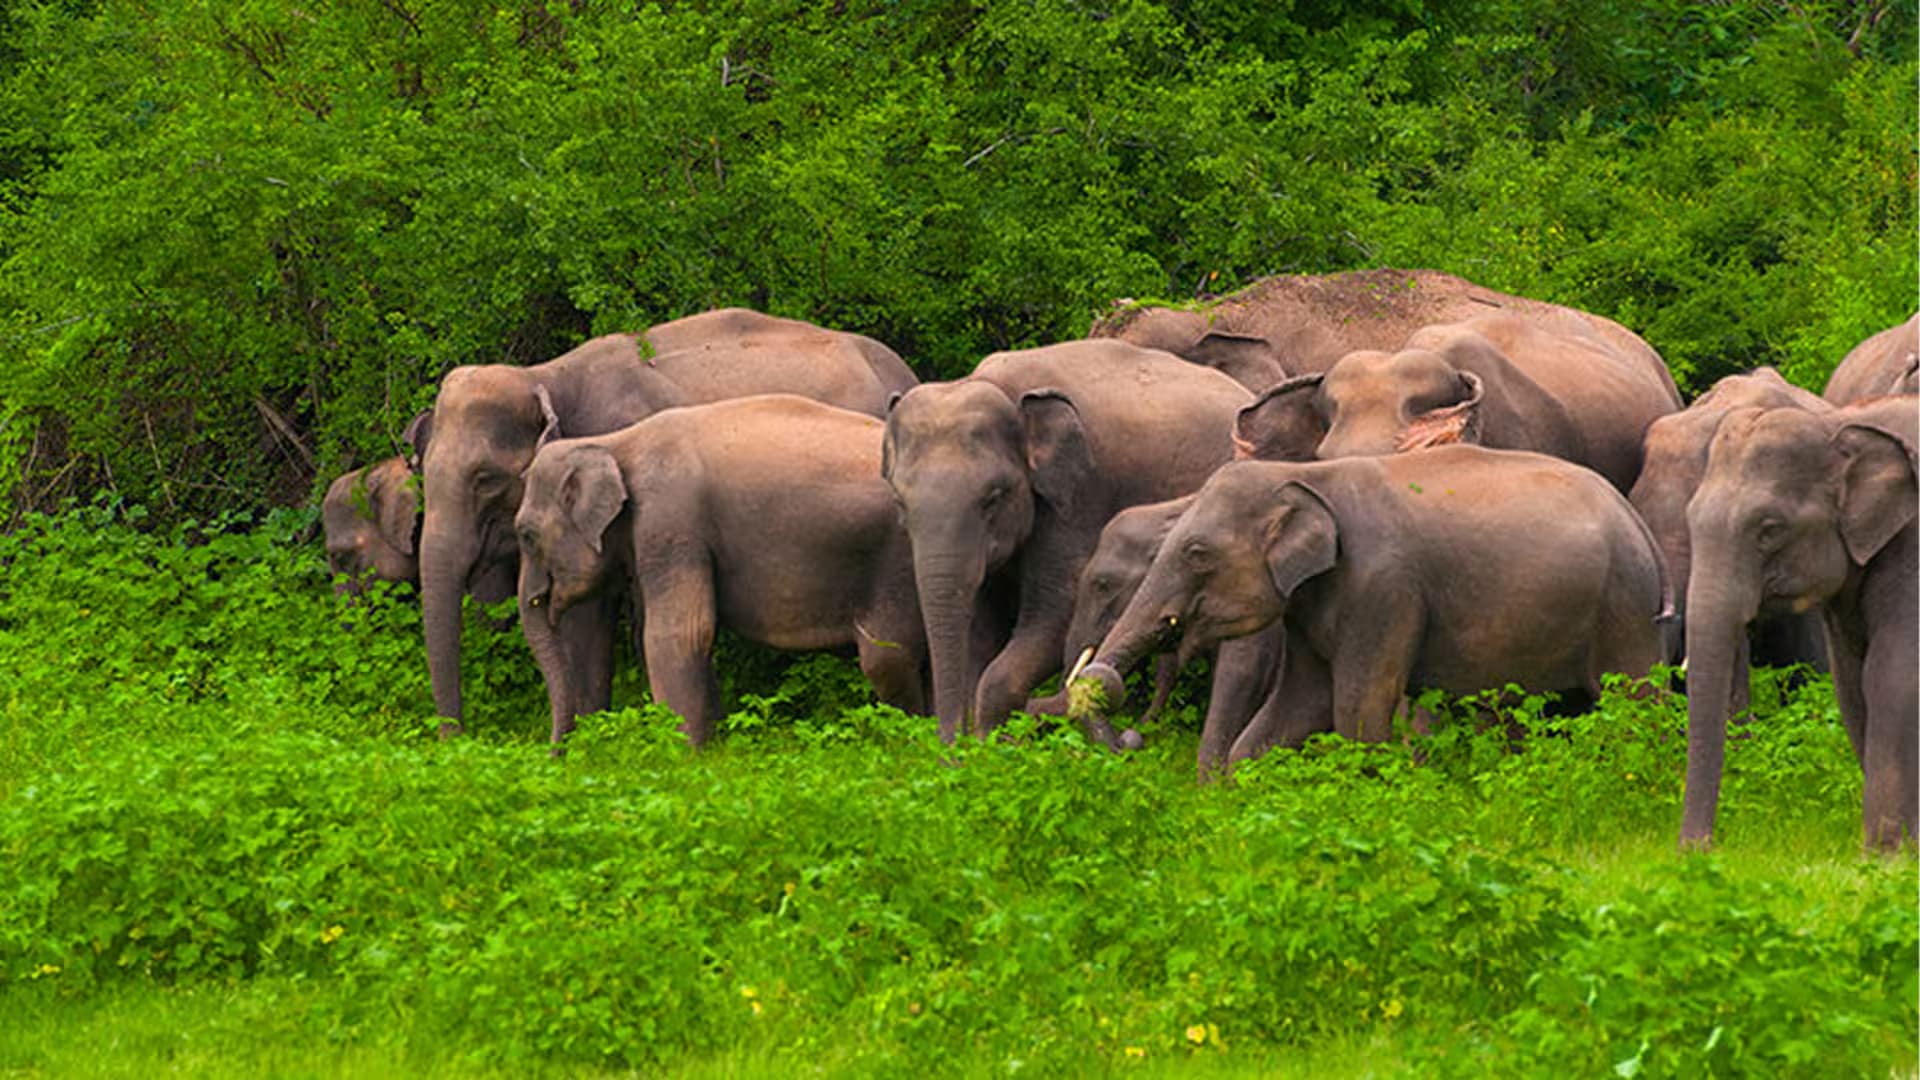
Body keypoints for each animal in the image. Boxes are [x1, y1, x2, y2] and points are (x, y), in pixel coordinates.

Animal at [513, 395, 927, 746]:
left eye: (527, 535)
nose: (557, 752)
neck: (613, 442)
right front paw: (715, 747)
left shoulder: (671, 523)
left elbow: (679, 633)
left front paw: (684, 755)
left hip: (898, 563)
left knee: (887, 657)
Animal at [882, 339, 1252, 742]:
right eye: (899, 501)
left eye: (993, 497)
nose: (951, 748)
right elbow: (979, 629)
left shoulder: (1079, 497)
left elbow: (1055, 615)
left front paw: (992, 742)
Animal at [1072, 447, 1669, 771]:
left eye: (1197, 553)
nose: (1131, 738)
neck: (1307, 476)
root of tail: (1638, 522)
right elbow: (1298, 705)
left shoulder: (1384, 589)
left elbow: (1357, 711)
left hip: (1625, 606)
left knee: (1636, 705)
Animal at [1678, 394, 1918, 851]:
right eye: (1691, 519)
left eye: (1770, 529)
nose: (1696, 851)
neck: (1839, 423)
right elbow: (1852, 683)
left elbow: (1892, 676)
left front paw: (1885, 856)